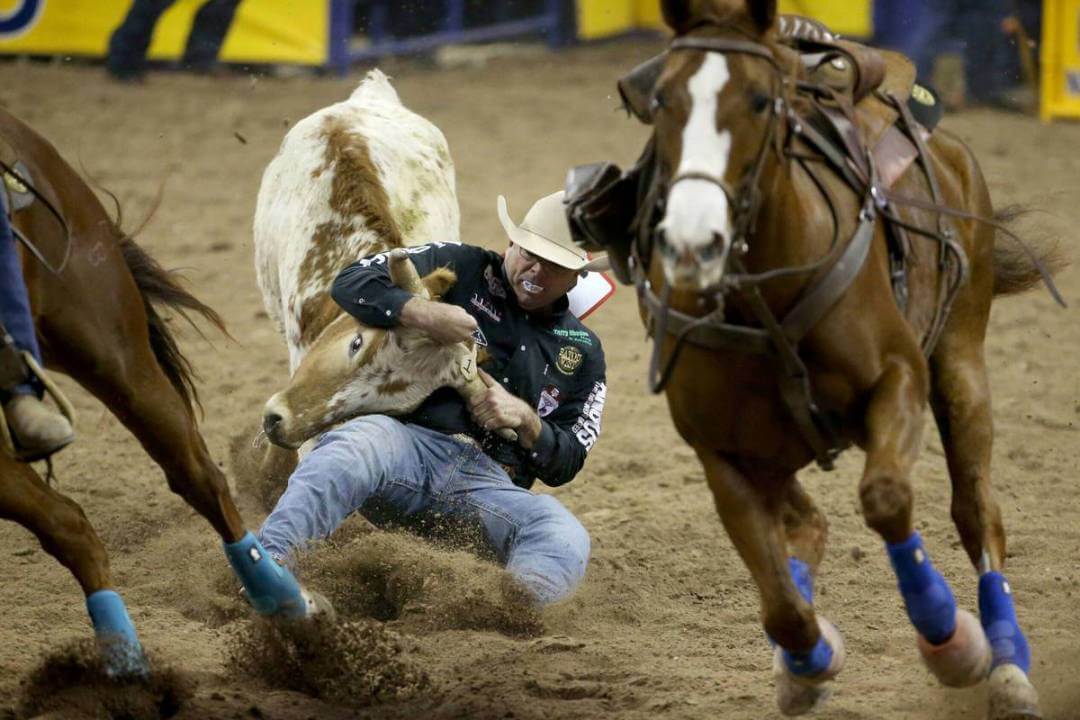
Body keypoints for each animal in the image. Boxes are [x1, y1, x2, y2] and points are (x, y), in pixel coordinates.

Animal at [600, 1, 1062, 720]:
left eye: (761, 100)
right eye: (663, 100)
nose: (692, 243)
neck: (763, 297)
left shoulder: (901, 378)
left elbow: (886, 498)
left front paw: (953, 644)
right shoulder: (721, 455)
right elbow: (784, 610)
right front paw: (808, 663)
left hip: (961, 362)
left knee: (975, 510)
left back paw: (1009, 667)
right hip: (777, 450)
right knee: (808, 525)